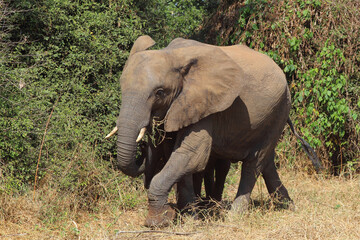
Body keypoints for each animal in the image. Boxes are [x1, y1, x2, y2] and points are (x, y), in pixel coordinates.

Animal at [105, 35, 322, 227]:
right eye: (121, 87)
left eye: (159, 92)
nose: (142, 145)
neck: (173, 55)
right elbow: (177, 155)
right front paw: (189, 218)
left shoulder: (205, 104)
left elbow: (192, 154)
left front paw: (158, 222)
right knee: (266, 160)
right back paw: (287, 207)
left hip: (280, 108)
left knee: (254, 162)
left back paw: (234, 216)